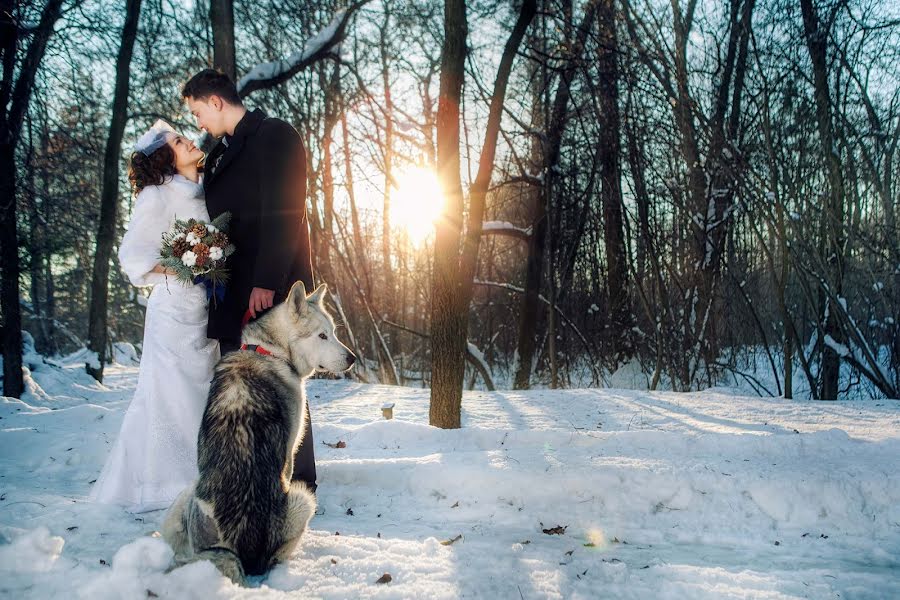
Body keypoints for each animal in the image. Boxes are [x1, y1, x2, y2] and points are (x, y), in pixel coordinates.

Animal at [162, 282, 356, 584]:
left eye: (334, 332)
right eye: (322, 336)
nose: (352, 358)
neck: (268, 351)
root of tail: (233, 550)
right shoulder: (288, 457)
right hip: (302, 501)